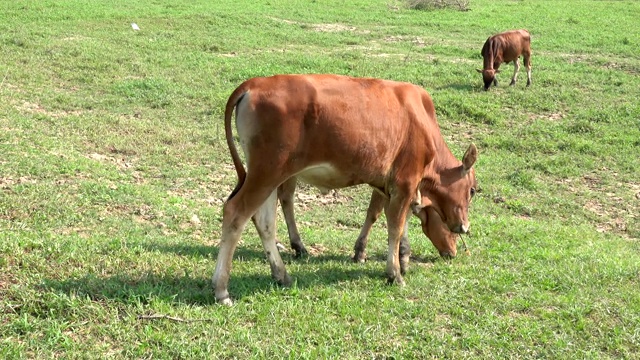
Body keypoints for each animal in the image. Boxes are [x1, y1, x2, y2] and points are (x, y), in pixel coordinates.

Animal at [212, 74, 478, 306]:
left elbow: (392, 220)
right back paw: (222, 289)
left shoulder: (390, 185)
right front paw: (394, 273)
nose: (464, 228)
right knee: (235, 213)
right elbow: (394, 225)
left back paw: (281, 274)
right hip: (266, 172)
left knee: (265, 222)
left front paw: (402, 258)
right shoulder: (405, 181)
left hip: (270, 177)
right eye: (473, 190)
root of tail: (253, 84)